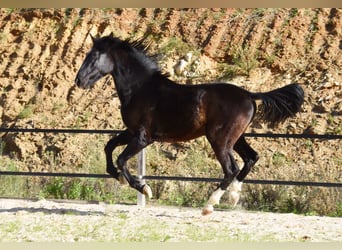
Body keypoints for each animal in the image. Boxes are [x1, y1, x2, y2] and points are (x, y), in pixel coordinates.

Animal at [75, 32, 304, 214]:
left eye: (94, 56)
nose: (79, 81)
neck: (140, 89)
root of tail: (249, 94)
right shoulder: (130, 132)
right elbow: (109, 147)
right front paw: (121, 178)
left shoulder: (143, 138)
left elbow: (121, 159)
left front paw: (143, 188)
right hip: (236, 138)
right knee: (250, 158)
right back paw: (233, 196)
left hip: (219, 140)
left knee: (232, 168)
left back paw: (209, 205)